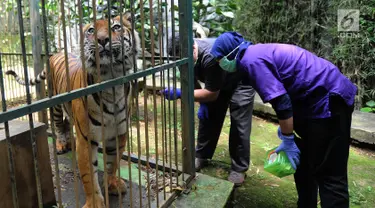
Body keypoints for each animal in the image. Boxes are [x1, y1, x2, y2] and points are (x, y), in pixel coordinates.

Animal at [5, 11, 141, 208]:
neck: (111, 82)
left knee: (66, 123)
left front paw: (112, 183)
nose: (102, 39)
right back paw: (62, 144)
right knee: (58, 125)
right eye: (91, 30)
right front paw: (95, 203)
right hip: (55, 105)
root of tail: (56, 53)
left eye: (116, 27)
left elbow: (112, 162)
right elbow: (89, 174)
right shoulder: (86, 139)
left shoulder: (119, 133)